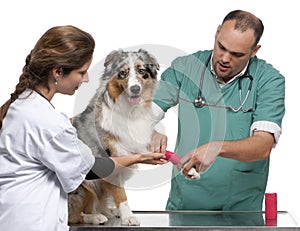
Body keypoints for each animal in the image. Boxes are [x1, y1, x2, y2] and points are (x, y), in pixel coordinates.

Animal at [68, 48, 161, 226]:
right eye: (123, 73)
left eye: (142, 71)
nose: (135, 89)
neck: (129, 110)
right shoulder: (111, 160)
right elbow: (120, 193)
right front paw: (128, 216)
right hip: (84, 185)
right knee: (74, 215)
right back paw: (96, 216)